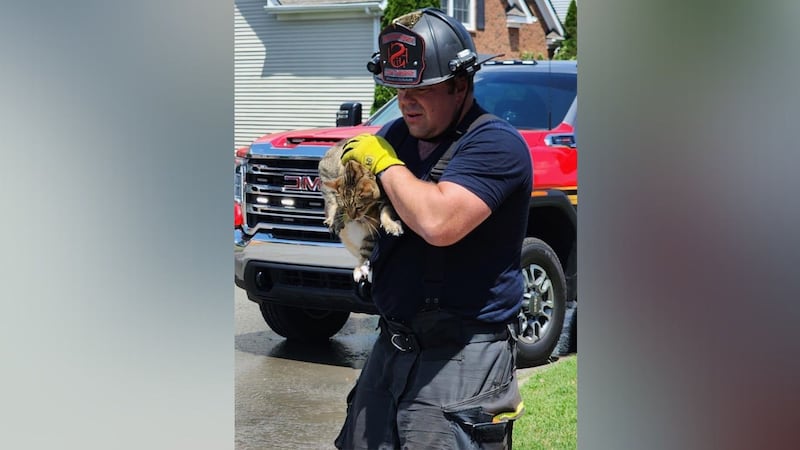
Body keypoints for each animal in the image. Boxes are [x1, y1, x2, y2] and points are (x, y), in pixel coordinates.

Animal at [318, 139, 404, 284]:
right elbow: (335, 203)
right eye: (346, 207)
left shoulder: (386, 199)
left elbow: (385, 213)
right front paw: (336, 218)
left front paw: (391, 225)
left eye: (359, 207)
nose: (353, 218)